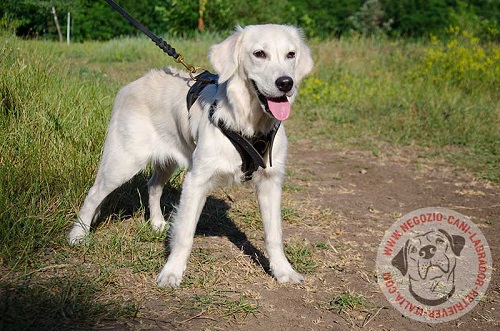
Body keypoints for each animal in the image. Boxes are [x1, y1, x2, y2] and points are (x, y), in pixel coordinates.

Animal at [69, 24, 314, 288]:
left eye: (291, 54)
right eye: (259, 53)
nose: (286, 83)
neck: (249, 124)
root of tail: (132, 85)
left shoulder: (270, 181)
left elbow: (274, 234)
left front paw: (283, 270)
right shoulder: (197, 180)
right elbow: (185, 233)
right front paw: (172, 272)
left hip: (166, 160)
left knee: (153, 185)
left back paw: (157, 223)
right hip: (123, 162)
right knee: (94, 194)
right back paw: (78, 234)